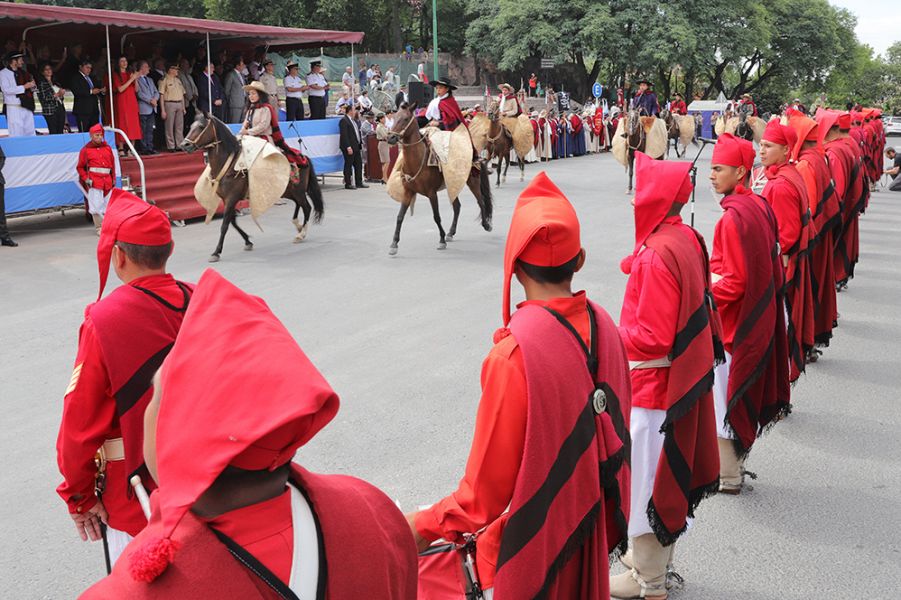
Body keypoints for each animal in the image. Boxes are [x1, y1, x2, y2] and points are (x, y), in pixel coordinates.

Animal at [179, 113, 324, 262]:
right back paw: (298, 226)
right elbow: (232, 221)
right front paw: (248, 241)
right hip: (289, 191)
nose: (184, 145)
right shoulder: (227, 200)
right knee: (299, 204)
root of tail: (303, 157)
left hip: (298, 191)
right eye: (191, 126)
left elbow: (225, 225)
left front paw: (216, 252)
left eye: (201, 126)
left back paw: (301, 234)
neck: (229, 164)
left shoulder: (231, 198)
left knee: (307, 207)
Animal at [384, 102, 492, 255]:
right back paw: (451, 232)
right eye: (393, 118)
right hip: (453, 184)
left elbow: (436, 216)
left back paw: (486, 225)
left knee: (481, 201)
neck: (417, 160)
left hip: (472, 181)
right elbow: (400, 217)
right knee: (457, 206)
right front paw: (394, 244)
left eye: (405, 119)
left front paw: (441, 240)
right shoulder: (408, 192)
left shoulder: (431, 193)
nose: (391, 138)